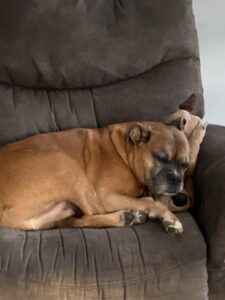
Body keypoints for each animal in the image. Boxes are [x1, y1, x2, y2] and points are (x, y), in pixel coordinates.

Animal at [0, 115, 191, 234]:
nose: (176, 180)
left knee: (79, 220)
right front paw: (169, 217)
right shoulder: (105, 196)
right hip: (64, 163)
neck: (126, 152)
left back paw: (127, 217)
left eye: (185, 165)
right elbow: (150, 201)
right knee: (93, 211)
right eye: (160, 157)